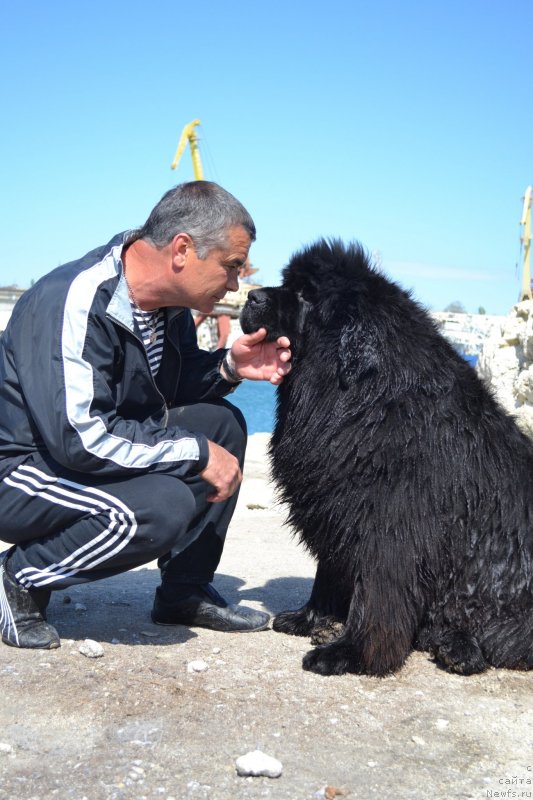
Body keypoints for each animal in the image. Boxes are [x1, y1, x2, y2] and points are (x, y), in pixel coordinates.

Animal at [240, 236, 532, 676]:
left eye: (307, 294)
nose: (251, 296)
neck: (367, 396)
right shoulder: (336, 509)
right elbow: (326, 574)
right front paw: (311, 620)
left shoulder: (390, 527)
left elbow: (377, 596)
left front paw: (351, 653)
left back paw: (458, 648)